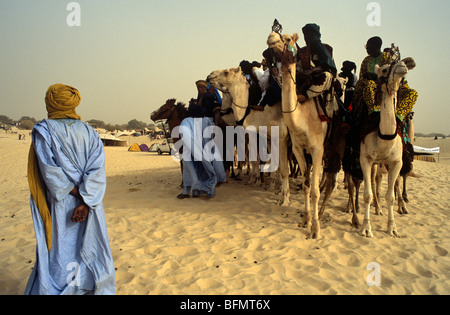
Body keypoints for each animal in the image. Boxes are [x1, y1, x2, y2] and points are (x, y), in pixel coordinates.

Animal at [207, 66, 292, 207]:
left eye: (226, 72)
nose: (210, 75)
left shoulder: (280, 138)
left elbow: (283, 168)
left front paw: (284, 199)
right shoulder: (268, 139)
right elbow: (270, 162)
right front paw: (272, 188)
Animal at [264, 32, 334, 239]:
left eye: (286, 38)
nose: (271, 37)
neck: (302, 118)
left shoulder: (317, 149)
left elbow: (315, 191)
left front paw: (315, 229)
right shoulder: (298, 149)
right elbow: (305, 186)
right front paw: (306, 220)